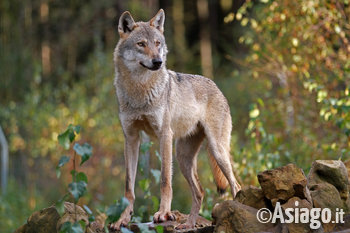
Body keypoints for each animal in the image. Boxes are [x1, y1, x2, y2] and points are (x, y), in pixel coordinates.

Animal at [110, 8, 242, 229]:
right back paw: (188, 225)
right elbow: (129, 186)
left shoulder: (165, 135)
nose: (158, 62)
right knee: (200, 192)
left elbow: (165, 180)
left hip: (217, 151)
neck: (139, 90)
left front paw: (163, 213)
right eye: (141, 44)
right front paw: (122, 219)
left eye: (157, 43)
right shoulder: (131, 138)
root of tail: (217, 87)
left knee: (236, 184)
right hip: (183, 158)